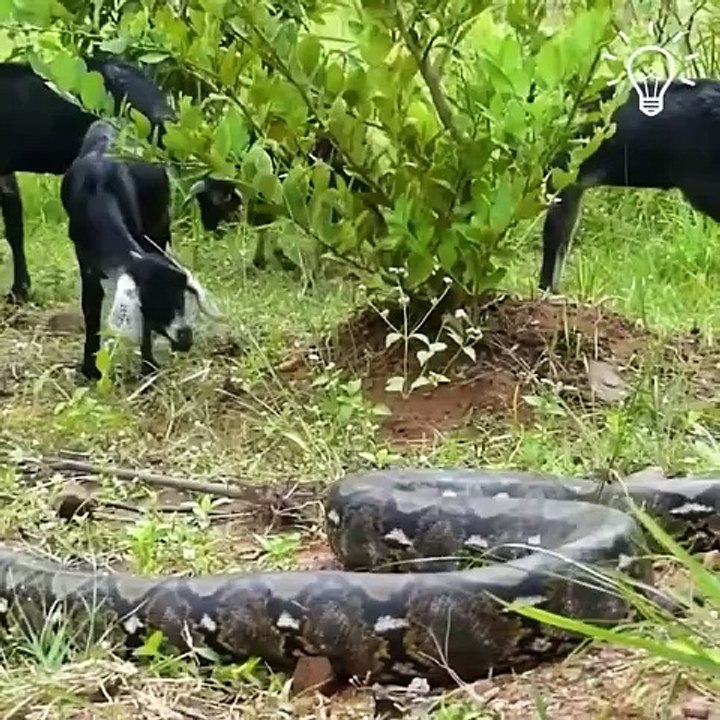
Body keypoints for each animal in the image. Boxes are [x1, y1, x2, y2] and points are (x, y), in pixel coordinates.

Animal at [60, 120, 220, 380]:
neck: (97, 191)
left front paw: (148, 366)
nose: (185, 339)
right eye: (153, 299)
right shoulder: (85, 258)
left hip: (159, 223)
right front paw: (90, 369)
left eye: (181, 298)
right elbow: (90, 307)